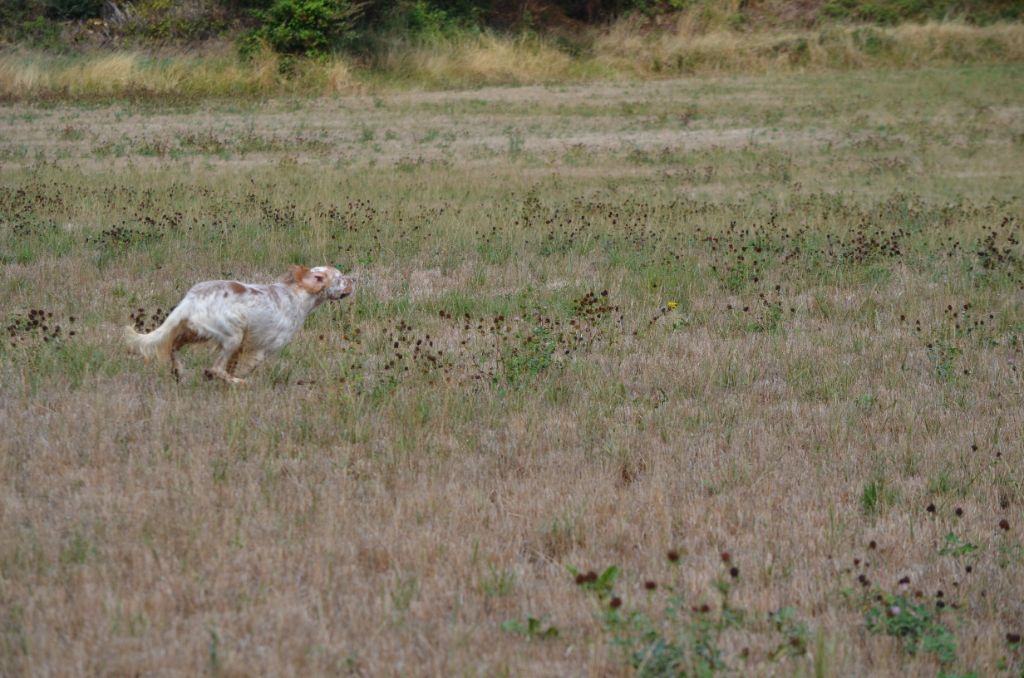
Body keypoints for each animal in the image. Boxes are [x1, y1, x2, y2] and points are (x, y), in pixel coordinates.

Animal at [124, 265, 354, 384]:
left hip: (195, 332)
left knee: (172, 348)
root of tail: (191, 299)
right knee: (216, 368)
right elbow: (244, 367)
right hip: (233, 335)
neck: (297, 294)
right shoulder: (262, 349)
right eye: (340, 277)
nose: (354, 280)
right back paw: (233, 381)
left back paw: (180, 371)